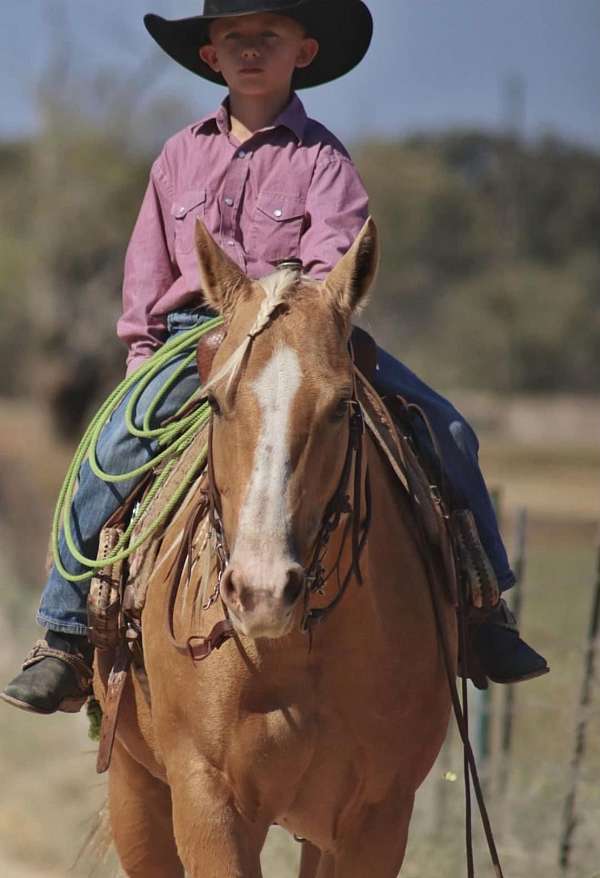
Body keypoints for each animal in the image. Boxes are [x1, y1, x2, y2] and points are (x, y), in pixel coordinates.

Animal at [96, 217, 458, 876]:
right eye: (215, 401)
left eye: (342, 406)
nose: (262, 592)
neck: (294, 650)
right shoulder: (208, 803)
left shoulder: (378, 821)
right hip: (135, 790)